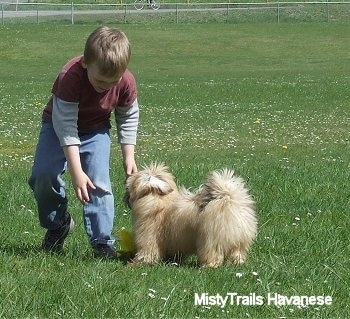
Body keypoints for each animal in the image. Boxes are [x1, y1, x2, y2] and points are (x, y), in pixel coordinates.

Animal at [124, 164, 256, 268]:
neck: (158, 199)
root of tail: (228, 200)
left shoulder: (149, 238)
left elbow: (147, 251)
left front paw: (137, 263)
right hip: (239, 241)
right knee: (237, 252)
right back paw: (236, 264)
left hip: (211, 240)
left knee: (213, 253)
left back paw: (208, 266)